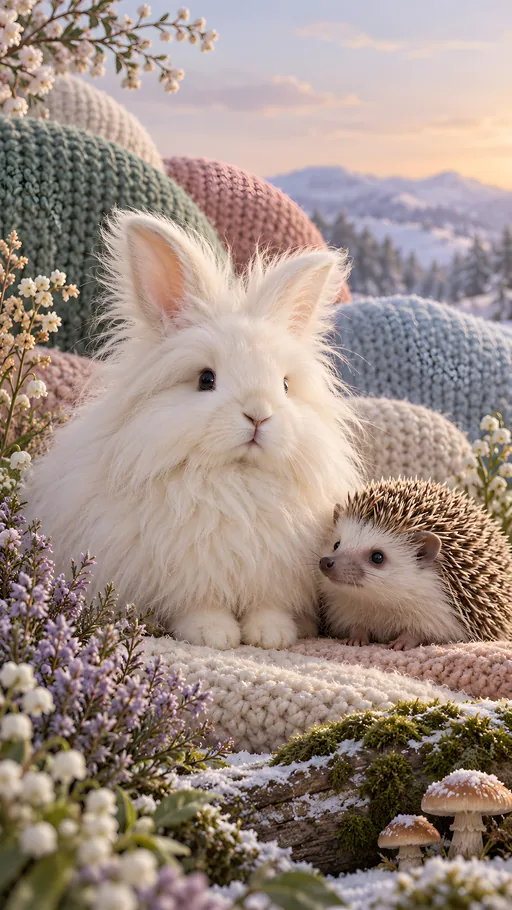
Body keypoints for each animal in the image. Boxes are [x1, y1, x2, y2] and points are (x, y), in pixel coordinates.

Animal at [24, 211, 362, 650]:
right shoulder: (186, 574)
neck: (236, 480)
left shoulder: (274, 573)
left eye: (285, 386)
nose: (258, 415)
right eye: (205, 380)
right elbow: (201, 605)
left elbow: (267, 605)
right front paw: (215, 635)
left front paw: (272, 635)